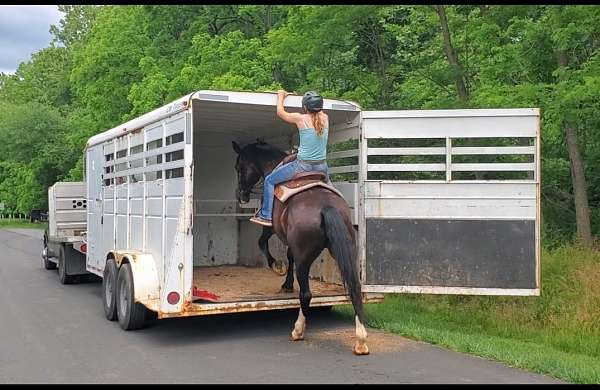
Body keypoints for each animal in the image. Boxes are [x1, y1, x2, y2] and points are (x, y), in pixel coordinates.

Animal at [232, 140, 368, 354]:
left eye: (239, 167)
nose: (242, 196)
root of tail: (326, 207)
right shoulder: (291, 243)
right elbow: (289, 256)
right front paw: (287, 284)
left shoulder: (271, 228)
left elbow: (262, 243)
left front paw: (276, 267)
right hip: (346, 252)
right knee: (354, 286)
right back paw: (361, 339)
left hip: (305, 259)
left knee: (306, 294)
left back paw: (298, 330)